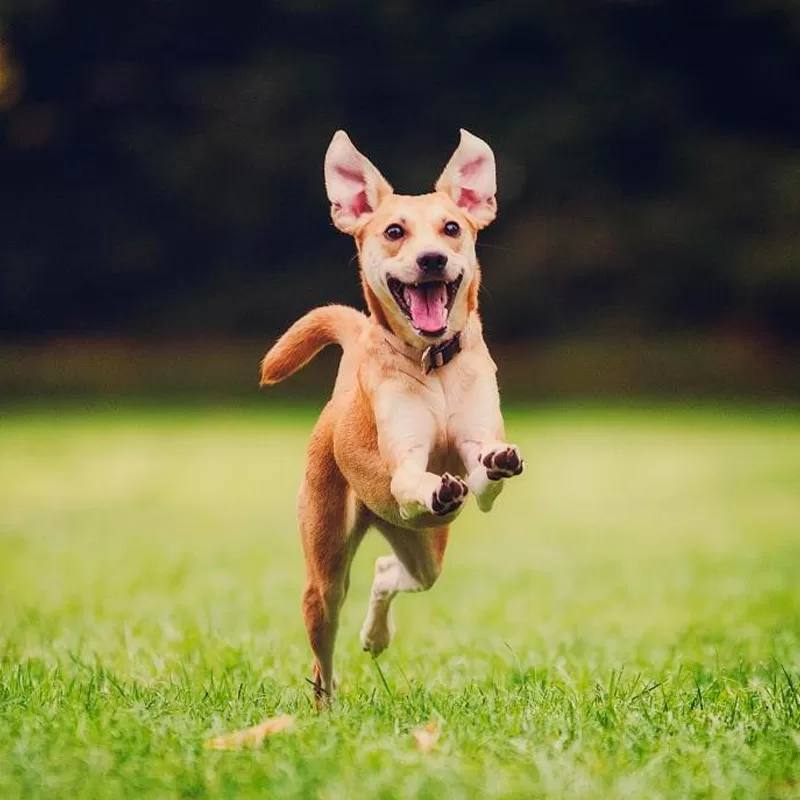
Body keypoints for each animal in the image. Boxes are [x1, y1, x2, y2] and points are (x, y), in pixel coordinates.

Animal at [260, 131, 524, 708]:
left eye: (452, 228)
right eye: (394, 231)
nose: (431, 259)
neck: (434, 365)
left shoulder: (476, 461)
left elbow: (484, 474)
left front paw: (494, 463)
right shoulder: (403, 465)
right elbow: (411, 476)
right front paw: (434, 485)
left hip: (424, 547)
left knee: (392, 572)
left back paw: (376, 635)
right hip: (325, 569)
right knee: (323, 654)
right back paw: (326, 707)